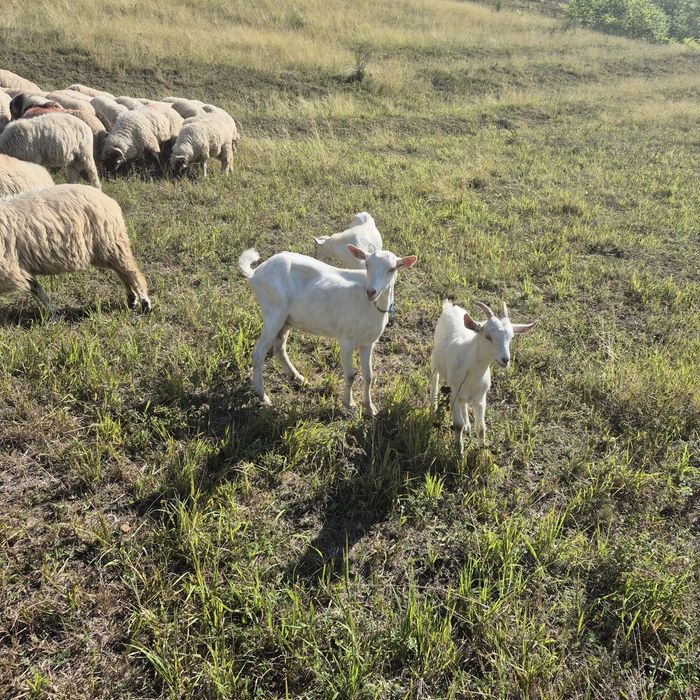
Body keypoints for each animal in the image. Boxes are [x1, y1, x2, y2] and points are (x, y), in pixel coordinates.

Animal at [238, 244, 417, 415]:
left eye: (392, 269)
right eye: (367, 264)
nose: (371, 291)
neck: (371, 306)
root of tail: (255, 273)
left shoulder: (368, 342)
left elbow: (368, 376)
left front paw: (369, 408)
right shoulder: (346, 339)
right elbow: (350, 375)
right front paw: (349, 404)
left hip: (286, 320)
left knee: (279, 347)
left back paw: (298, 378)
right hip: (273, 311)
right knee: (259, 351)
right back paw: (262, 395)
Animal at [430, 300, 537, 454]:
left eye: (511, 338)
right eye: (488, 336)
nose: (505, 360)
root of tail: (450, 306)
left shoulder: (480, 398)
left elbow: (481, 428)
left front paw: (481, 451)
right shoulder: (454, 394)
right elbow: (457, 425)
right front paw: (459, 452)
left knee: (464, 404)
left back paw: (467, 425)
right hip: (434, 361)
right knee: (434, 382)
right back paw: (433, 408)